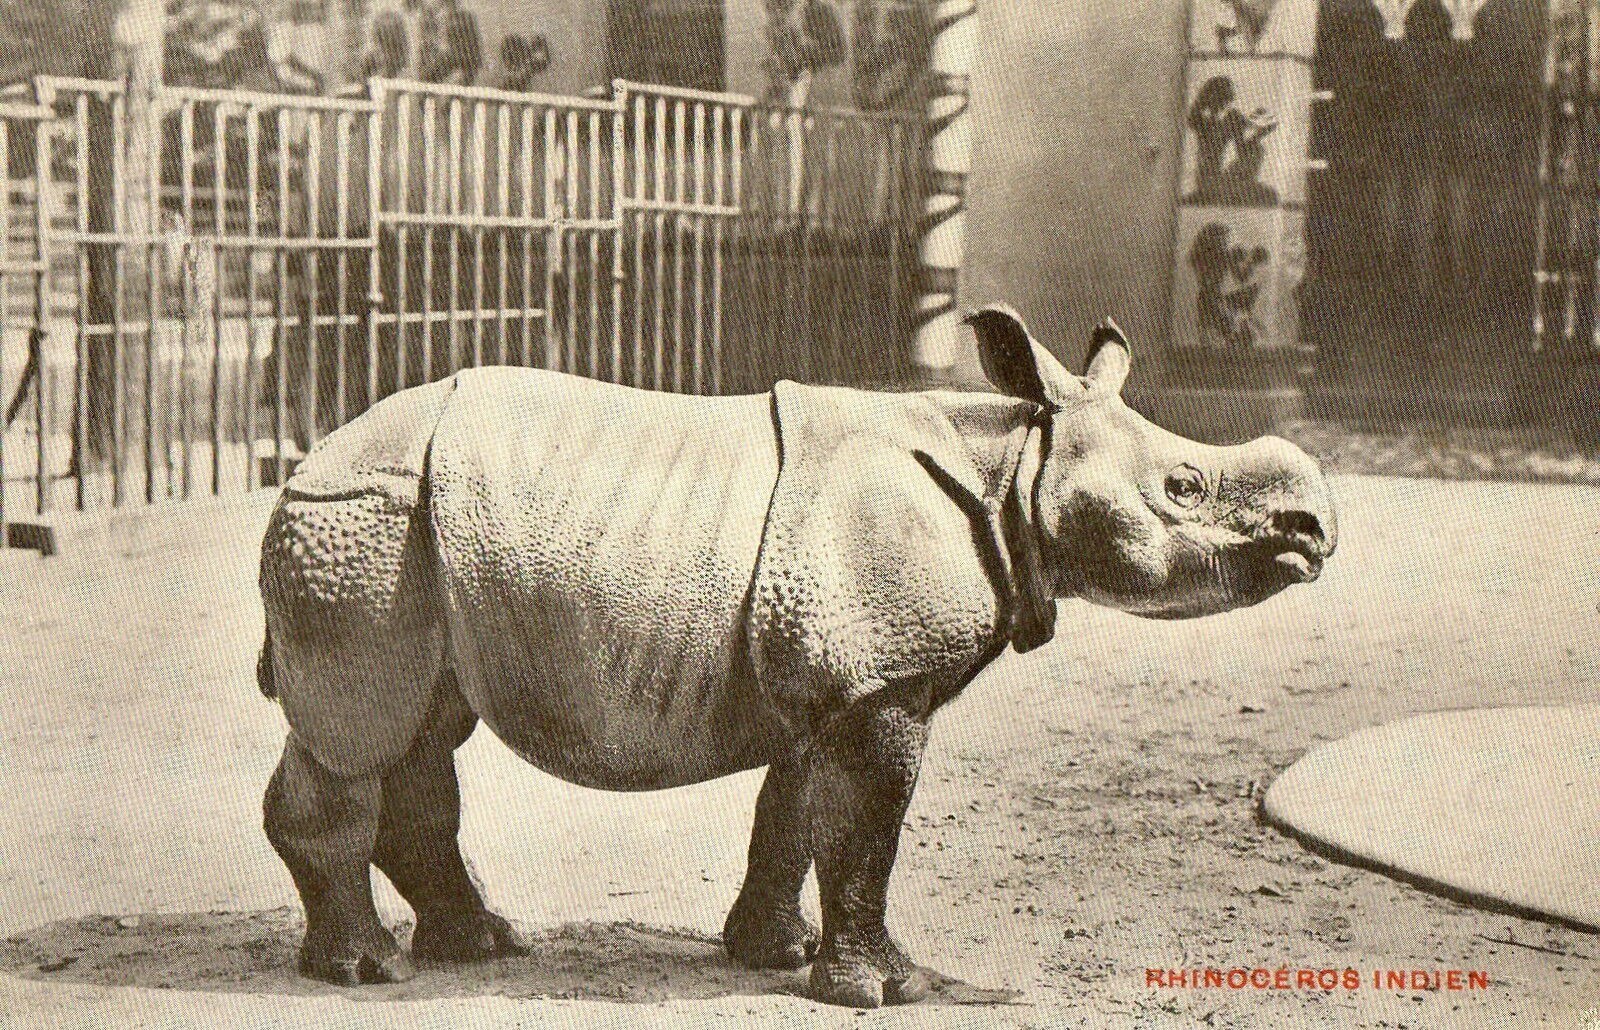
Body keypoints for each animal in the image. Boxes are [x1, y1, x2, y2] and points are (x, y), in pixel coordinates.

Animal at [256, 307, 1336, 1008]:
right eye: (1185, 485)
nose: (1316, 531)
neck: (1012, 465)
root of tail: (309, 458)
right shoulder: (880, 680)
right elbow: (868, 829)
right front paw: (892, 990)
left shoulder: (837, 678)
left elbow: (796, 817)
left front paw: (776, 956)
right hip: (366, 520)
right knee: (360, 736)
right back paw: (369, 973)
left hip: (411, 533)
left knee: (422, 730)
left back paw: (478, 948)